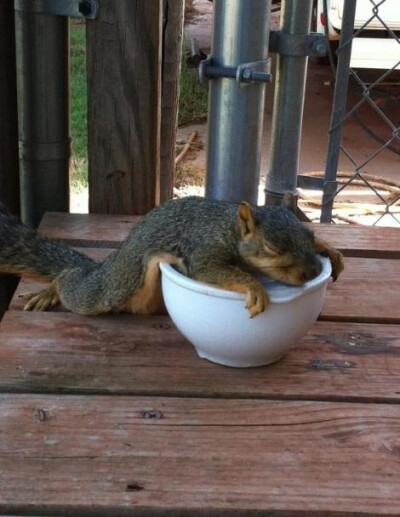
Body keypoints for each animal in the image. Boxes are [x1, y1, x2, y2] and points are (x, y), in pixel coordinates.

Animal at [0, 196, 344, 316]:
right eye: (272, 247)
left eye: (308, 235)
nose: (312, 273)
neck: (228, 228)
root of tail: (105, 265)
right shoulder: (202, 249)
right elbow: (213, 270)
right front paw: (255, 286)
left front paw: (330, 249)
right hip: (108, 289)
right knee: (71, 282)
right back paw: (52, 290)